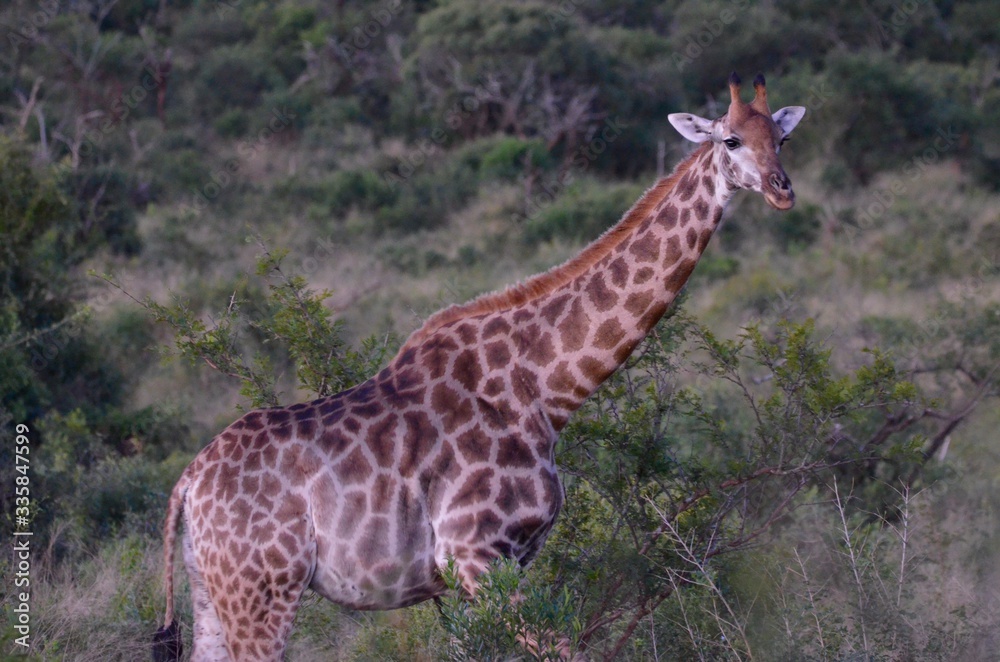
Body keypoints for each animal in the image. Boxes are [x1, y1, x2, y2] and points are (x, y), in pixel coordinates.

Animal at [153, 72, 805, 661]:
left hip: (213, 593)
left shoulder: (498, 563)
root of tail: (189, 483)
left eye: (782, 137)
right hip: (263, 590)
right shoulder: (475, 553)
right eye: (730, 141)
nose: (782, 191)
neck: (546, 387)